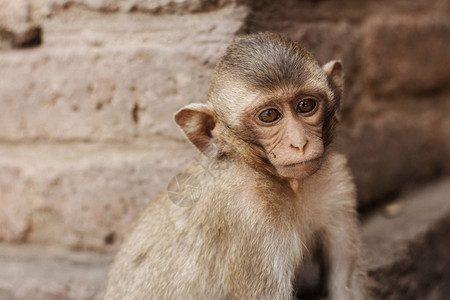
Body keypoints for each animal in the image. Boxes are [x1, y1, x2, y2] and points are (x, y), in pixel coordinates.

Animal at [104, 33, 366, 300]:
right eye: (269, 115)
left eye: (305, 106)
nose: (299, 143)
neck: (288, 187)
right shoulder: (247, 215)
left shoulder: (337, 183)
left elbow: (344, 285)